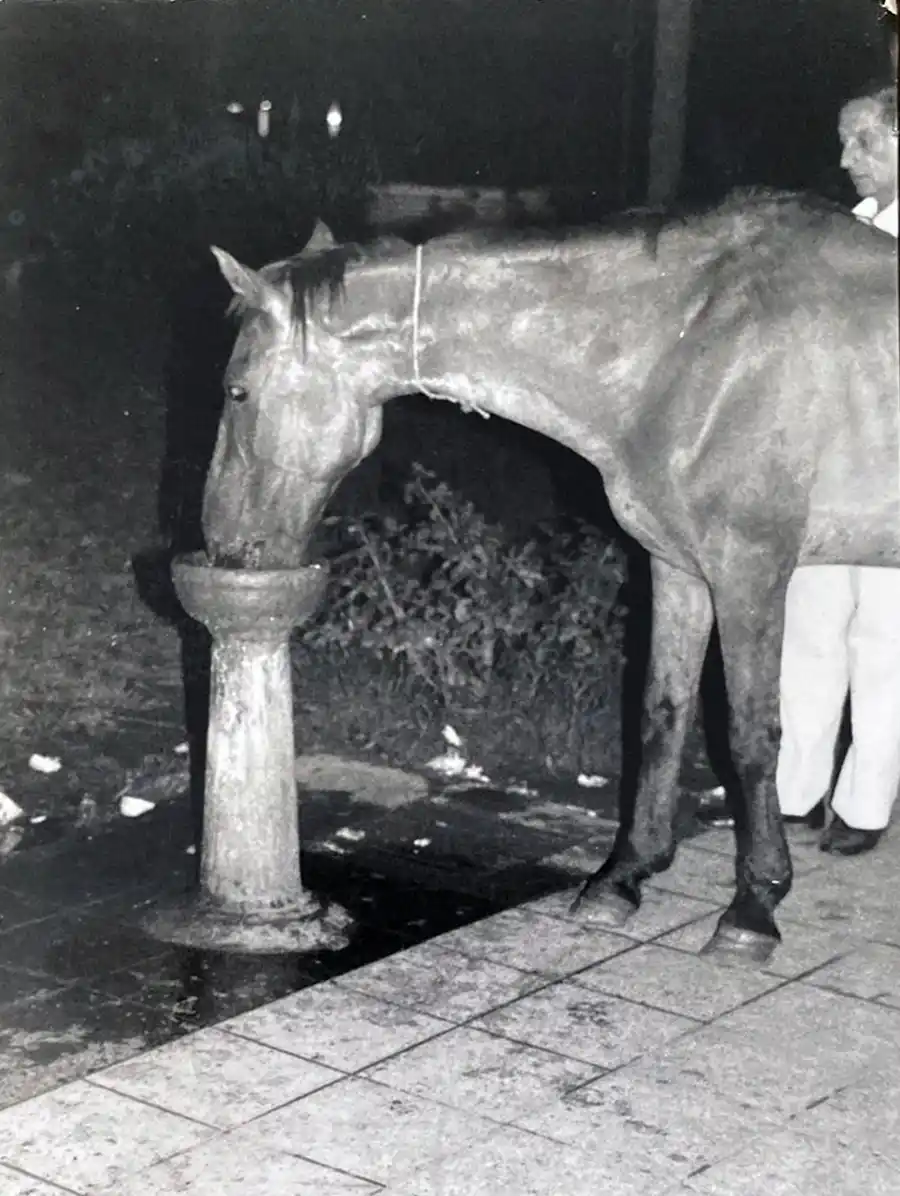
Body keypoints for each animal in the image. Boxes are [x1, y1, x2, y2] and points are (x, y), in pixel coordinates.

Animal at [202, 190, 899, 964]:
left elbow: (750, 737)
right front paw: (626, 874)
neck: (687, 347)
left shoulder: (750, 570)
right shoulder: (679, 569)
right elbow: (661, 714)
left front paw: (754, 904)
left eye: (237, 390)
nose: (219, 539)